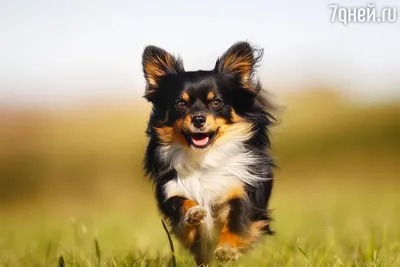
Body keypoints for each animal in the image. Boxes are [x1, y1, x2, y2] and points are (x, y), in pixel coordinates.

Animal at [141, 42, 276, 266]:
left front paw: (227, 249)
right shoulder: (171, 189)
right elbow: (181, 205)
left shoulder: (240, 191)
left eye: (216, 102)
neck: (204, 158)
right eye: (181, 104)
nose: (198, 119)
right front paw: (193, 212)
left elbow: (238, 222)